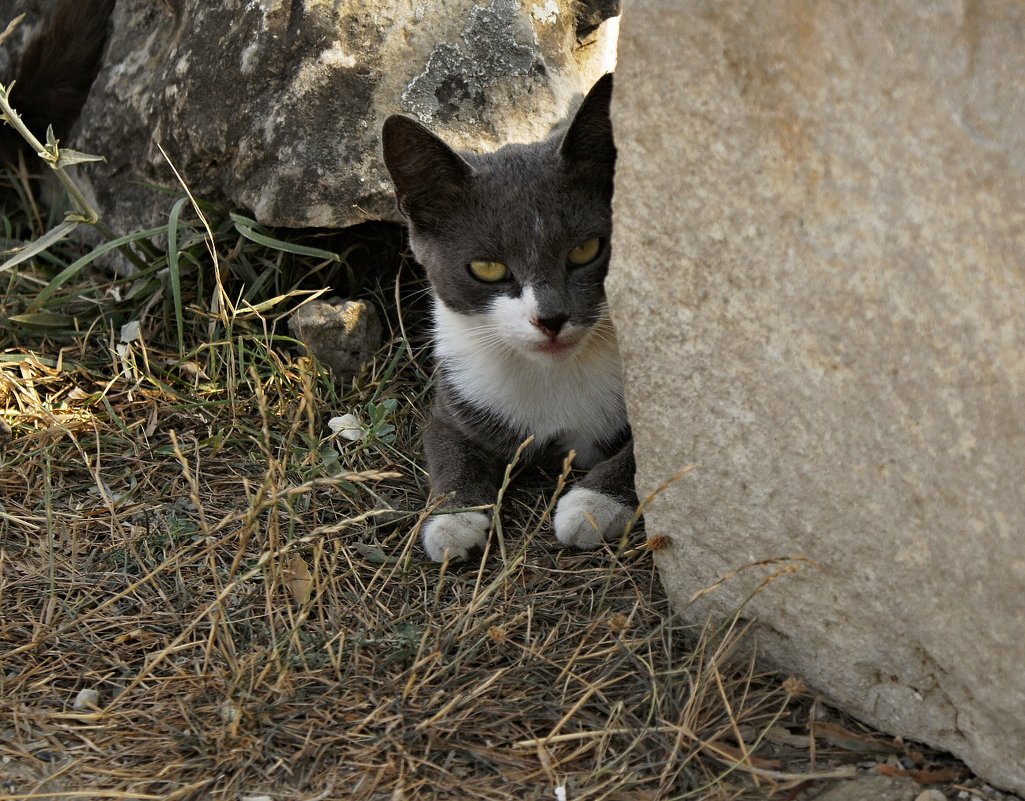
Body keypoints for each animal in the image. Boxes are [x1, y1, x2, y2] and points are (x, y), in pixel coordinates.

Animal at [381, 76, 631, 562]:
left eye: (585, 250)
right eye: (488, 268)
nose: (551, 318)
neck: (554, 374)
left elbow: (643, 455)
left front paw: (592, 504)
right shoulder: (455, 398)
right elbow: (449, 448)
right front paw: (452, 520)